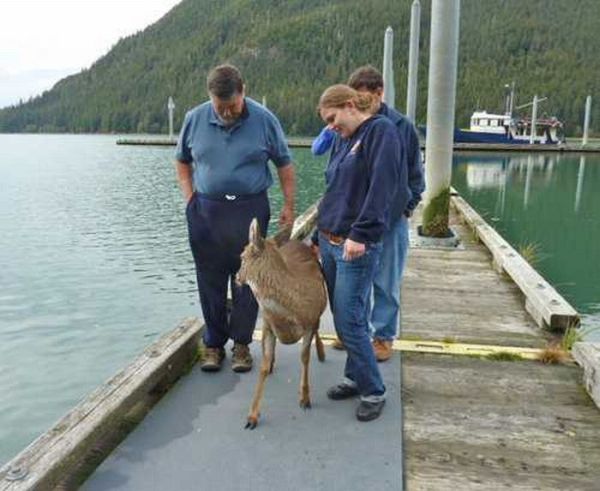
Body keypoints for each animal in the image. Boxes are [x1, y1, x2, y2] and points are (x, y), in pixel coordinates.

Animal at [236, 219, 328, 430]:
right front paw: (252, 417)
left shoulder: (310, 322)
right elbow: (263, 365)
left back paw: (321, 353)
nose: (236, 277)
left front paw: (305, 399)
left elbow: (304, 357)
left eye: (242, 256)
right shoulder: (268, 325)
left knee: (318, 332)